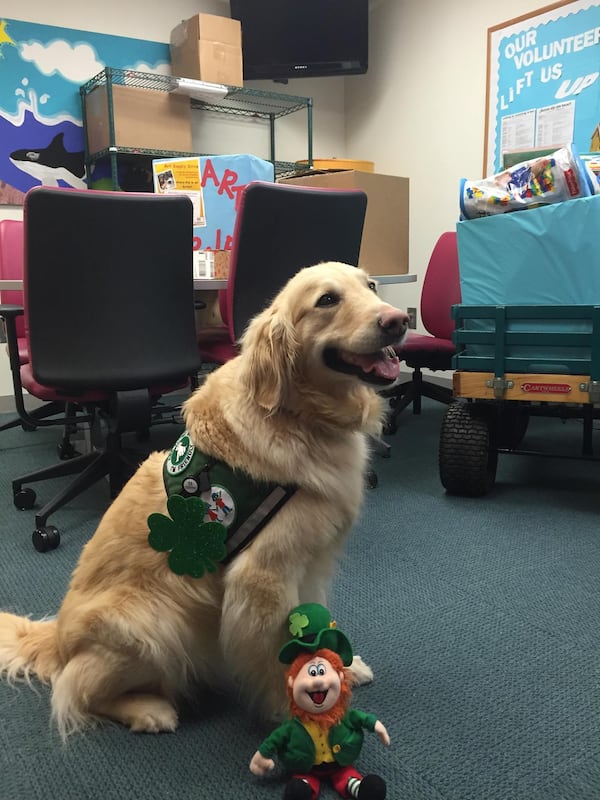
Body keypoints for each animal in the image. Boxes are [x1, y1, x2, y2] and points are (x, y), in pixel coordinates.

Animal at [0, 260, 408, 736]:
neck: (297, 415)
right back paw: (147, 709)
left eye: (372, 286)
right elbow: (275, 652)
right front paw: (298, 714)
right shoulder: (261, 577)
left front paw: (339, 666)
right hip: (157, 622)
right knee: (75, 691)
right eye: (327, 300)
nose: (398, 321)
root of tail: (58, 639)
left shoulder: (309, 563)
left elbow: (309, 624)